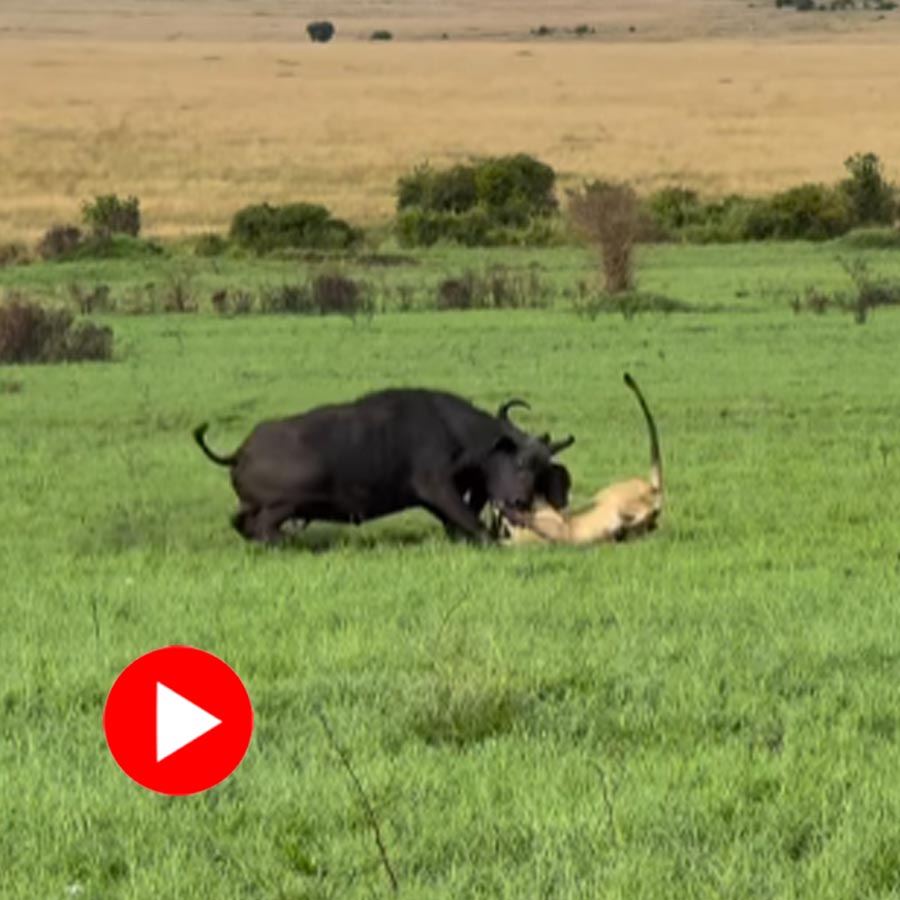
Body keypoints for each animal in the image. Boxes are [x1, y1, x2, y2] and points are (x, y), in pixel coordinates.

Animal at [194, 387, 574, 546]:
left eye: (543, 470)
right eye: (521, 461)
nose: (521, 502)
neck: (458, 432)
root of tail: (240, 452)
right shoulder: (436, 487)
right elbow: (471, 521)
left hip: (251, 505)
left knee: (240, 523)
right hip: (285, 503)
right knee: (263, 528)